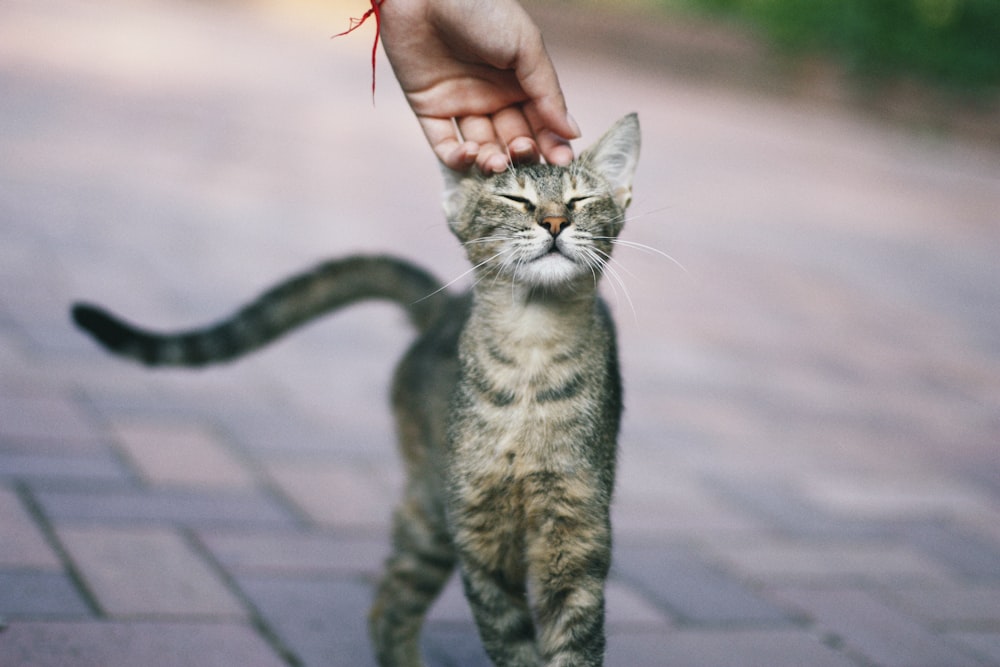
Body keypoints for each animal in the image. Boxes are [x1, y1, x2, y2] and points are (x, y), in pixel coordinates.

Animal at [74, 112, 644, 664]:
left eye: (580, 200)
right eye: (516, 200)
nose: (554, 221)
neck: (531, 355)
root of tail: (445, 309)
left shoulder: (578, 531)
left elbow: (574, 647)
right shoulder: (481, 538)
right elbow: (512, 646)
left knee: (389, 600)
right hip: (435, 508)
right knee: (389, 605)